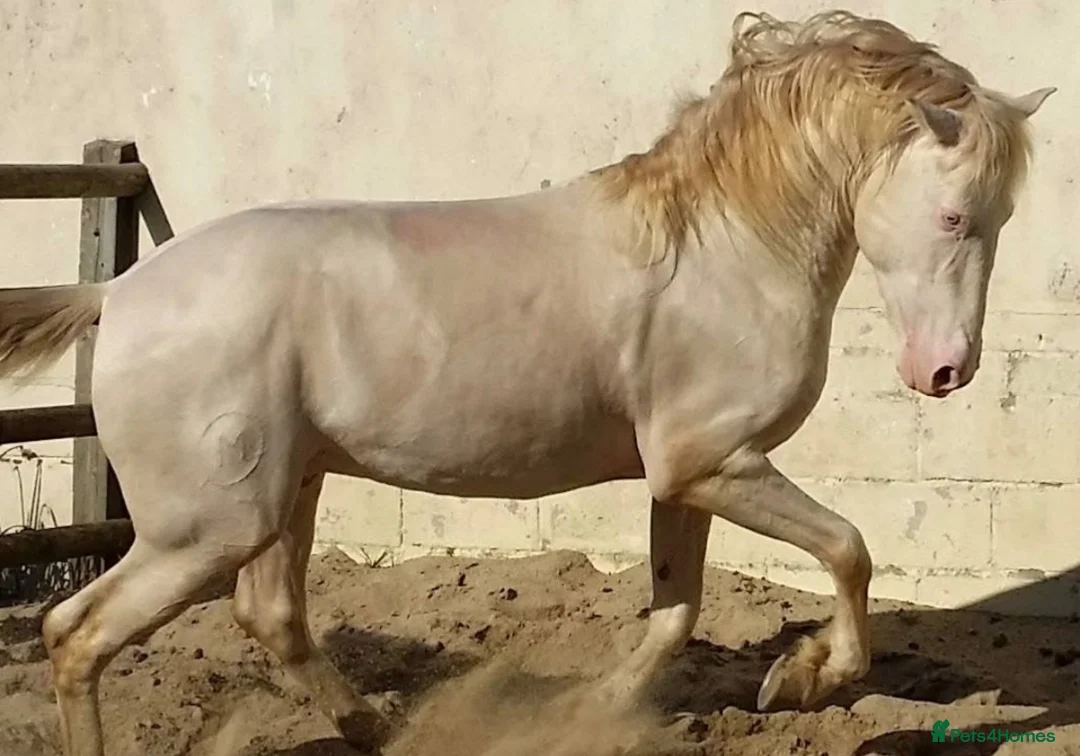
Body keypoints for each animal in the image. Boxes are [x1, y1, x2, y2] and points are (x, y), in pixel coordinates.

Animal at [0, 10, 1053, 756]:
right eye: (955, 216)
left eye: (1003, 217)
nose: (946, 372)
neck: (724, 249)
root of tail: (116, 296)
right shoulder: (717, 462)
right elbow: (849, 550)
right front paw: (804, 680)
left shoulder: (686, 475)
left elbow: (677, 613)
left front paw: (597, 711)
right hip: (206, 527)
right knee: (75, 633)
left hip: (287, 490)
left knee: (270, 616)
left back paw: (384, 731)